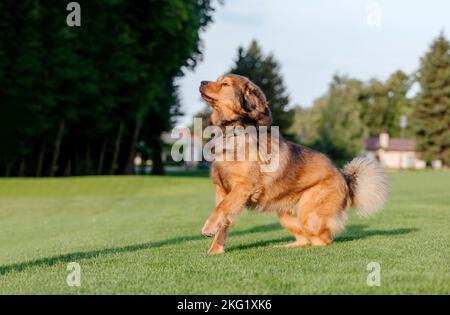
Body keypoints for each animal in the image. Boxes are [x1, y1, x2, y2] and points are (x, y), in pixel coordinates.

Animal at [199, 75, 388, 256]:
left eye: (225, 84)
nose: (202, 82)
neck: (232, 133)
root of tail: (345, 177)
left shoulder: (243, 187)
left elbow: (222, 208)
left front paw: (209, 227)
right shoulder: (221, 189)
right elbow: (224, 219)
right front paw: (216, 248)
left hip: (309, 214)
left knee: (322, 241)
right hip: (286, 215)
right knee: (305, 240)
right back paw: (283, 247)